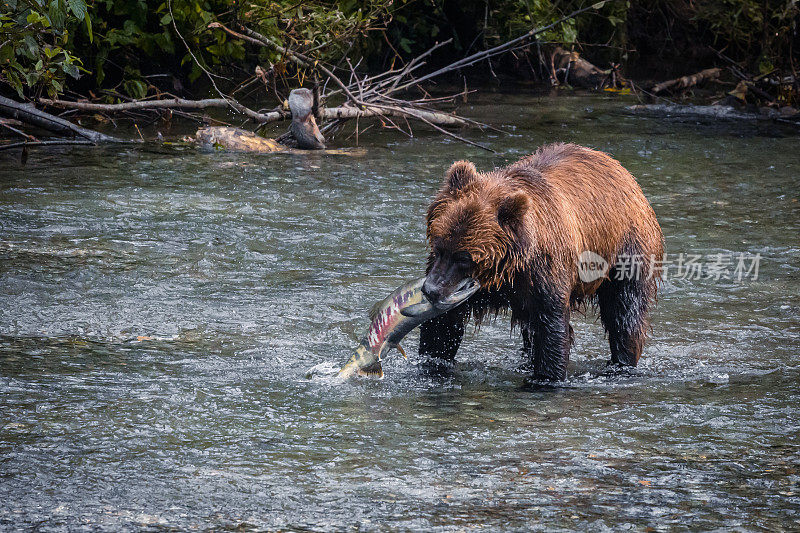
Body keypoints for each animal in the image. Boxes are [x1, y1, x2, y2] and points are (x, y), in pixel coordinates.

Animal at [418, 143, 664, 380]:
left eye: (464, 257)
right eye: (439, 247)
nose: (431, 290)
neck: (504, 271)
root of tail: (621, 170)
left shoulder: (543, 271)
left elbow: (550, 328)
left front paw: (546, 377)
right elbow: (442, 326)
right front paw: (433, 362)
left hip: (626, 248)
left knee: (624, 311)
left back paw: (622, 363)